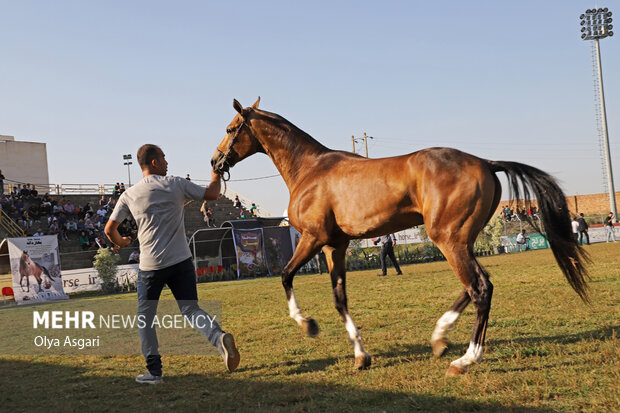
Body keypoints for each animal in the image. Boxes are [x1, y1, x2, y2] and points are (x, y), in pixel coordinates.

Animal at [211, 98, 588, 374]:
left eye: (230, 129)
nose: (216, 162)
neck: (311, 169)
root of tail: (485, 161)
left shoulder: (313, 239)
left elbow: (287, 276)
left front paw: (308, 325)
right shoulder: (336, 246)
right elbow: (340, 299)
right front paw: (361, 356)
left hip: (448, 239)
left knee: (480, 288)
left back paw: (465, 359)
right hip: (462, 240)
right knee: (478, 284)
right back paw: (440, 338)